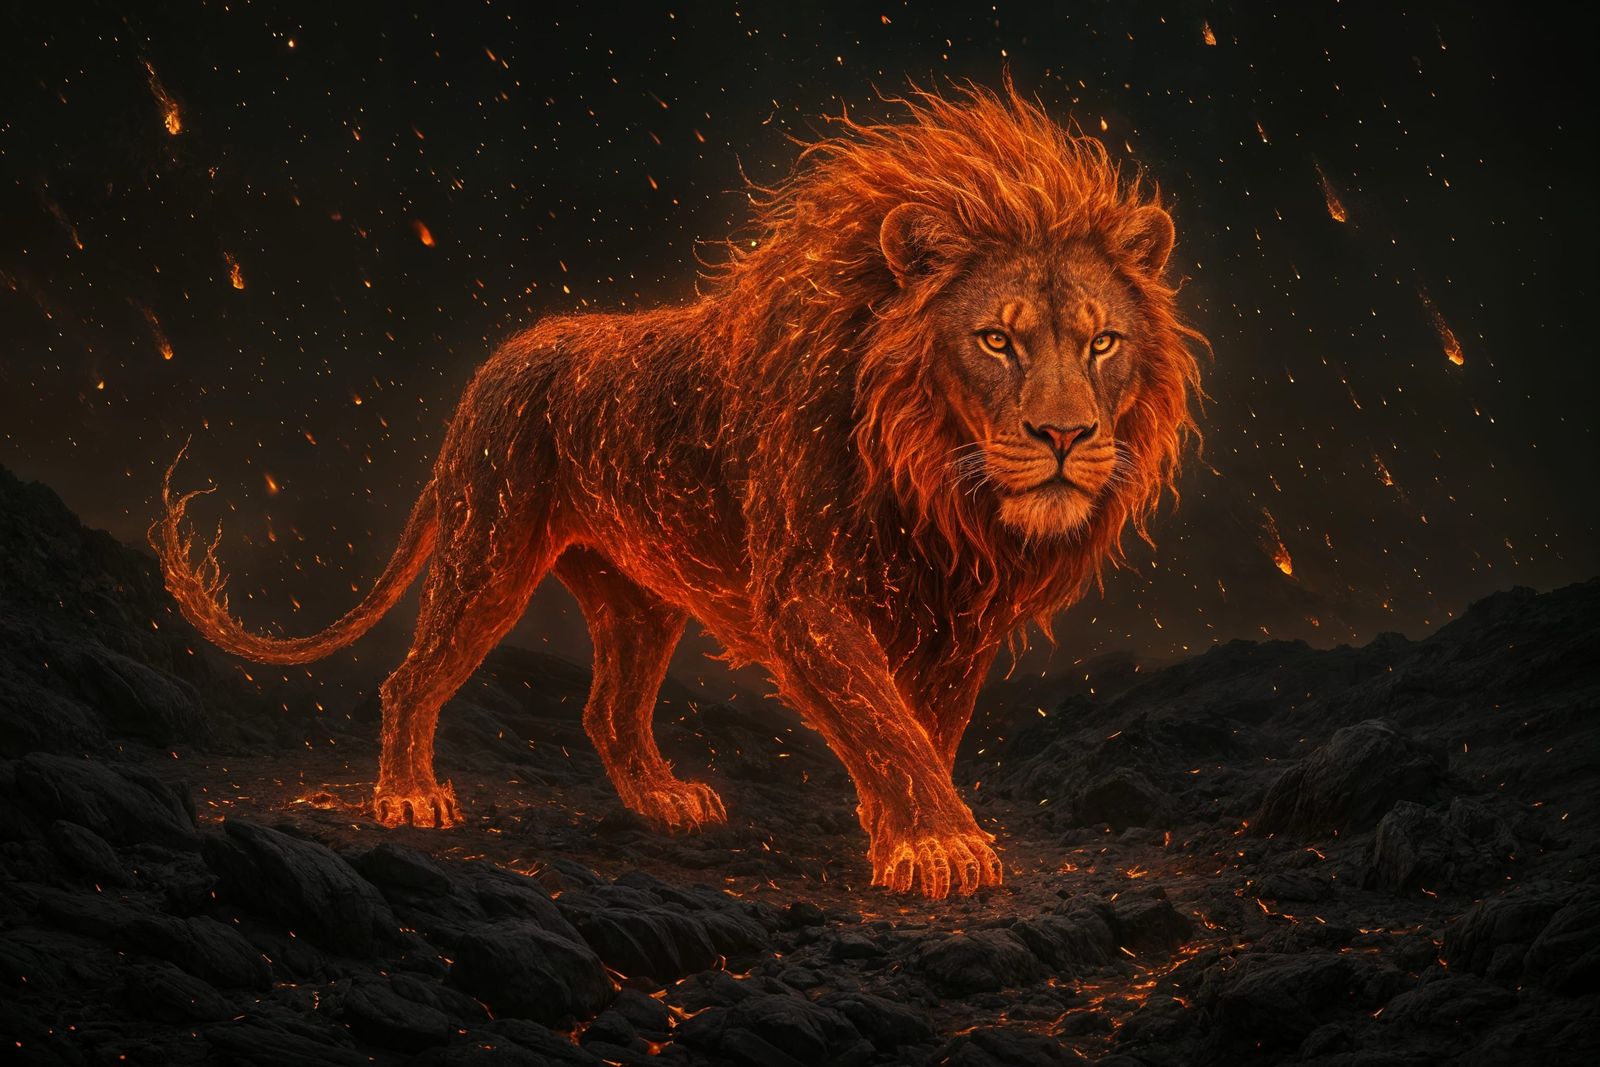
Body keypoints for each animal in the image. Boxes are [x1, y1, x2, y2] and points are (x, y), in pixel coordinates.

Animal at [153, 84, 1204, 899]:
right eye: (996, 339)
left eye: (1102, 341)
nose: (1066, 438)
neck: (935, 481)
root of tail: (500, 361)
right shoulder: (804, 592)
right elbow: (882, 719)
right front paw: (938, 842)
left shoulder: (957, 617)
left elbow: (922, 729)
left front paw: (896, 832)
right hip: (487, 549)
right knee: (412, 676)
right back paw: (410, 794)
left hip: (638, 597)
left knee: (605, 710)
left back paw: (663, 799)